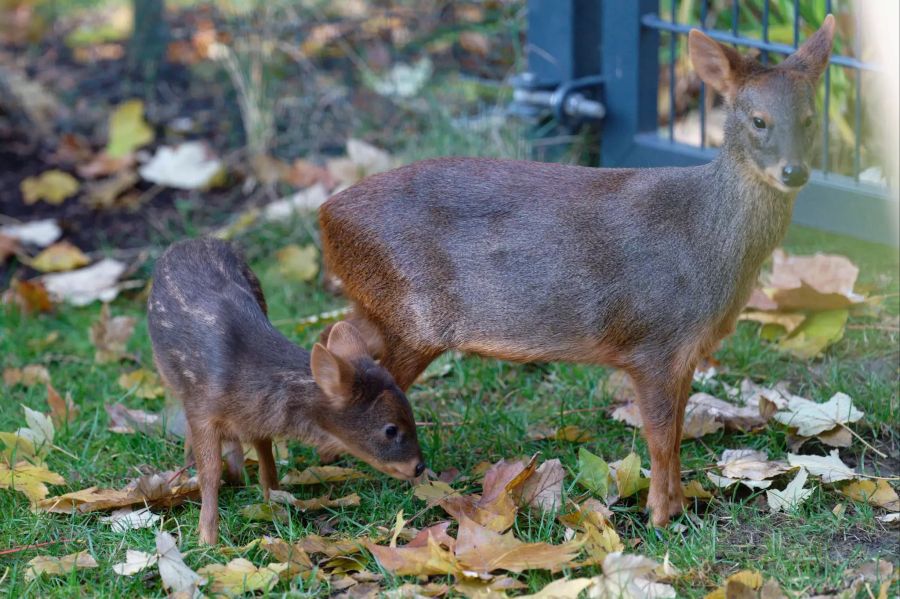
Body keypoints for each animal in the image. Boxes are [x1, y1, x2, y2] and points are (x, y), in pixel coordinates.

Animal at [149, 239, 426, 544]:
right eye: (390, 429)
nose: (419, 467)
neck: (240, 375)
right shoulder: (203, 411)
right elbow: (209, 472)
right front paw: (207, 540)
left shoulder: (256, 415)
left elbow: (265, 451)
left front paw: (273, 500)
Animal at [318, 18, 836, 524]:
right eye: (759, 120)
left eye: (811, 118)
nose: (794, 171)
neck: (704, 240)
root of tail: (326, 215)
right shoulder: (653, 340)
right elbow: (660, 437)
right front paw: (659, 517)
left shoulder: (686, 352)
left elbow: (675, 434)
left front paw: (680, 507)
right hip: (413, 317)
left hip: (380, 307)